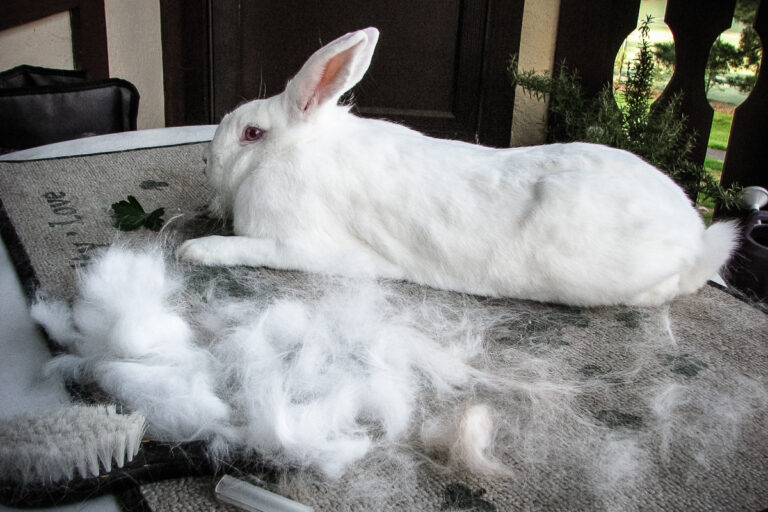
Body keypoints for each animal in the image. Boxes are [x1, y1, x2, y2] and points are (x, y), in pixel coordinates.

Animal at [177, 27, 738, 307]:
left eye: (252, 134)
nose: (206, 160)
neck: (294, 148)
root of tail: (694, 239)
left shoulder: (296, 243)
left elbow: (243, 250)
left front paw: (193, 250)